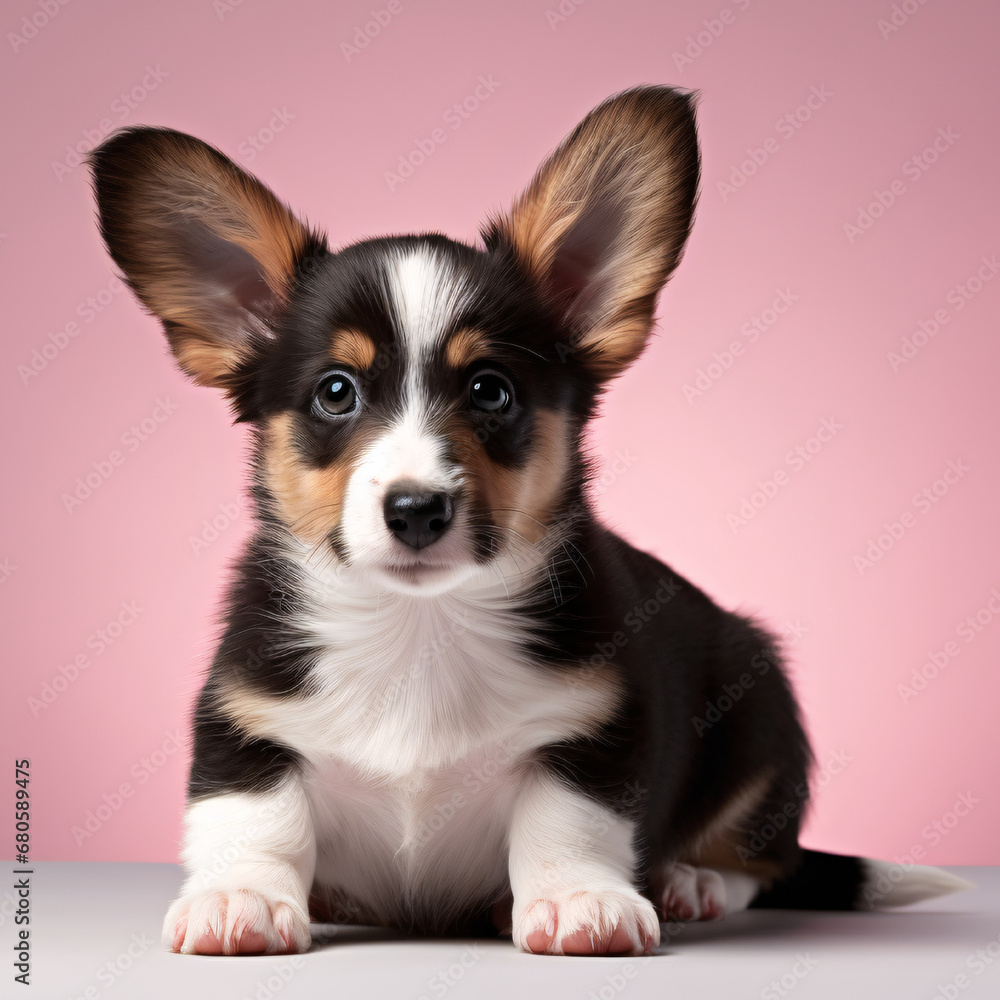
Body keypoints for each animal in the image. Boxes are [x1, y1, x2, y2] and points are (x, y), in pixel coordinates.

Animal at [88, 84, 968, 952]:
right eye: (335, 391)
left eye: (490, 390)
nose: (416, 509)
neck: (420, 627)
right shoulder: (243, 720)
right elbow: (253, 817)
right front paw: (239, 897)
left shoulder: (594, 728)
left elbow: (566, 822)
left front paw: (582, 899)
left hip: (756, 708)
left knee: (762, 860)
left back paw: (692, 883)